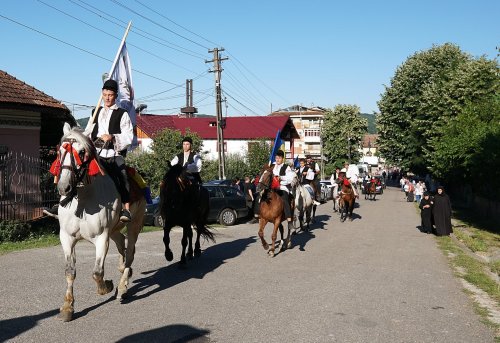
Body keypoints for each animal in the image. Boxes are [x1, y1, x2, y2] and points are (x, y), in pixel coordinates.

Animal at [53, 123, 146, 322]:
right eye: (59, 151)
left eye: (81, 152)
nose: (64, 188)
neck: (84, 200)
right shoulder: (67, 238)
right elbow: (70, 272)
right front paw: (68, 307)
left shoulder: (102, 238)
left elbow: (97, 273)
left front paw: (107, 286)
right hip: (115, 230)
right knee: (122, 245)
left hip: (134, 225)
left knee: (130, 253)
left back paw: (122, 287)